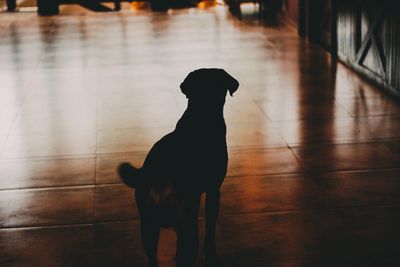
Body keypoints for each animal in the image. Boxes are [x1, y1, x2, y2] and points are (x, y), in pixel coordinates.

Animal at [117, 68, 239, 266]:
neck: (201, 113)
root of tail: (160, 175)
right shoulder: (214, 191)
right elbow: (211, 228)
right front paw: (211, 254)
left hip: (148, 226)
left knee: (153, 258)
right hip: (187, 226)